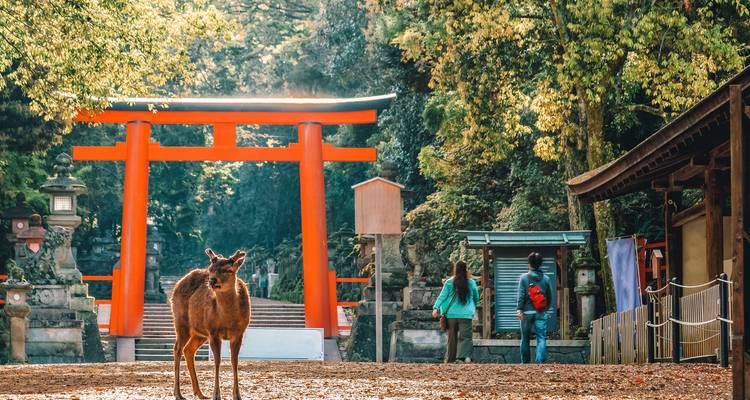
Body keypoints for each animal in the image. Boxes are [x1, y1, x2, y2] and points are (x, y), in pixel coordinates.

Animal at [171, 248, 251, 400]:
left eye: (229, 270)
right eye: (211, 269)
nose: (212, 280)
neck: (228, 320)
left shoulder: (239, 333)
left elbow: (234, 361)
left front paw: (237, 395)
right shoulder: (213, 332)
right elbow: (217, 361)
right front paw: (216, 395)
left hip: (200, 332)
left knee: (188, 350)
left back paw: (200, 393)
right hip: (181, 322)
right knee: (177, 348)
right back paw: (178, 393)